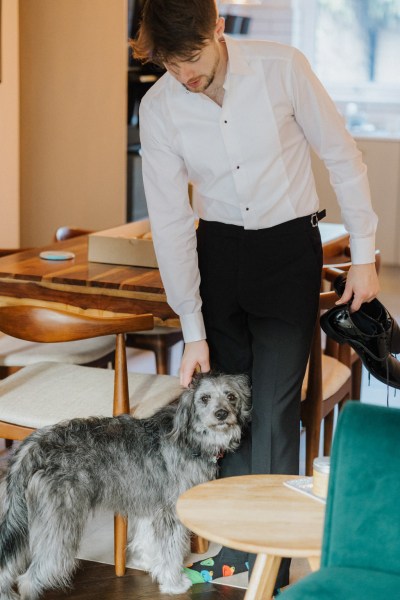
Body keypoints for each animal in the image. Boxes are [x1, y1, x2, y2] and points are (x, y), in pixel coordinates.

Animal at [0, 372, 250, 596]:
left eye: (231, 396)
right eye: (205, 398)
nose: (222, 414)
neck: (189, 436)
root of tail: (37, 443)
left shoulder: (152, 506)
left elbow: (148, 541)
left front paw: (150, 564)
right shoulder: (171, 513)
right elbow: (170, 550)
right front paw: (174, 583)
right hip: (60, 527)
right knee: (29, 579)